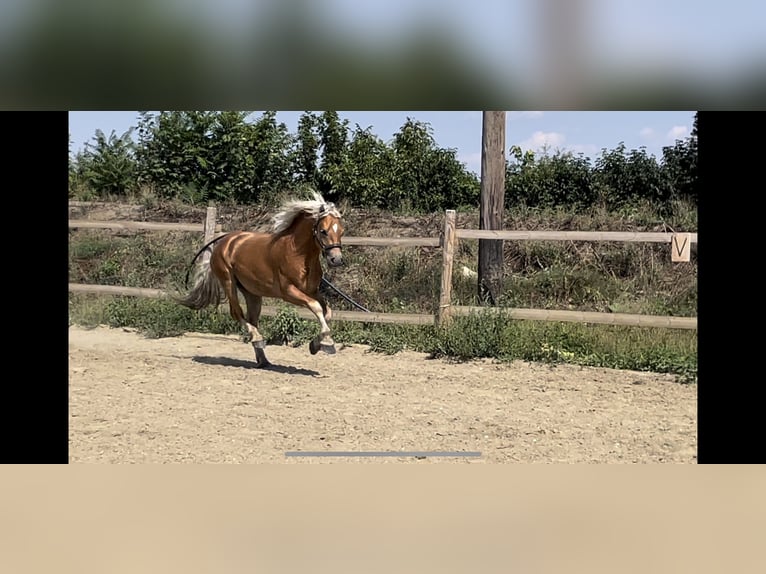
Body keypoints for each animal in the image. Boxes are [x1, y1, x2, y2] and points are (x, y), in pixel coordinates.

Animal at [177, 191, 344, 366]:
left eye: (341, 231)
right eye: (323, 231)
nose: (336, 260)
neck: (297, 253)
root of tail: (224, 241)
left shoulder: (312, 291)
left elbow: (327, 312)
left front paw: (316, 344)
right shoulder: (288, 292)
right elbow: (316, 307)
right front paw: (327, 344)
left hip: (252, 293)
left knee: (252, 318)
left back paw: (262, 357)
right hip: (228, 282)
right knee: (237, 313)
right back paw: (257, 338)